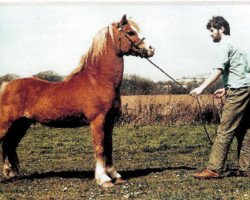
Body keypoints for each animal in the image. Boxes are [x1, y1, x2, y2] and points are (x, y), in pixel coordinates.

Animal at [0, 14, 154, 187]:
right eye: (130, 32)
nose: (150, 49)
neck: (99, 80)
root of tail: (6, 85)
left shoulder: (109, 122)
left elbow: (109, 148)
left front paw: (116, 176)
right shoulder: (97, 121)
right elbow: (100, 148)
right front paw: (104, 179)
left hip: (21, 125)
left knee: (9, 144)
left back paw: (10, 172)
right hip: (6, 124)